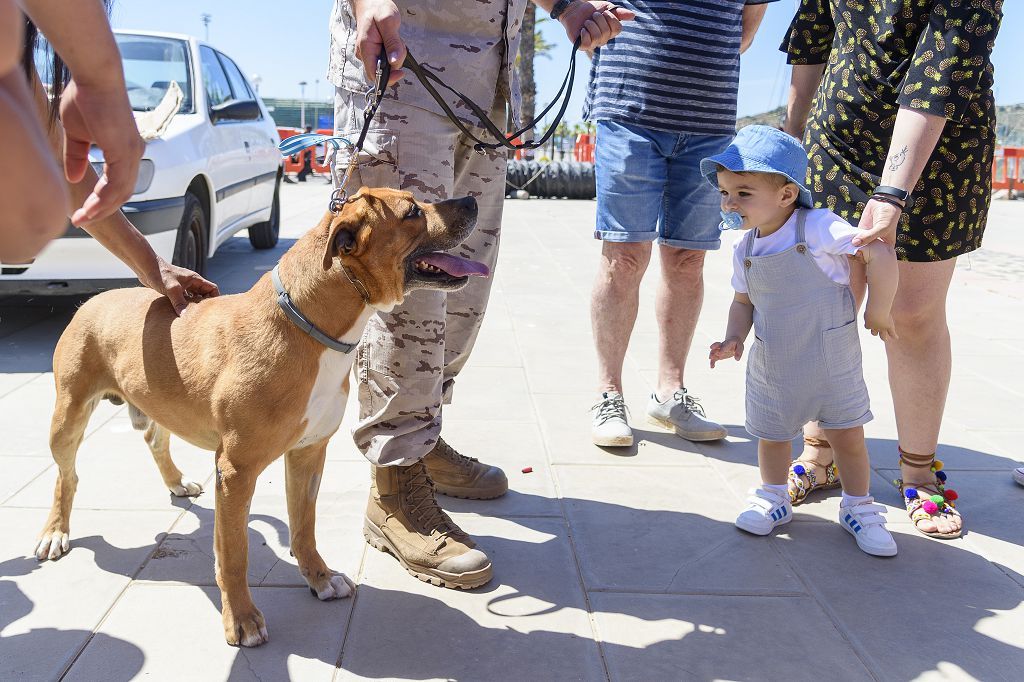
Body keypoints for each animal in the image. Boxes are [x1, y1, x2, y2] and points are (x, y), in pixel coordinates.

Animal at [34, 188, 489, 647]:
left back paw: (176, 481)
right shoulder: (237, 471)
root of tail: (94, 298)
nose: (472, 200)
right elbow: (234, 553)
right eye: (412, 211)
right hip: (66, 418)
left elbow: (304, 527)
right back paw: (55, 530)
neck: (309, 325)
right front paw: (241, 618)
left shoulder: (308, 455)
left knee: (154, 439)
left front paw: (319, 578)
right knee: (67, 477)